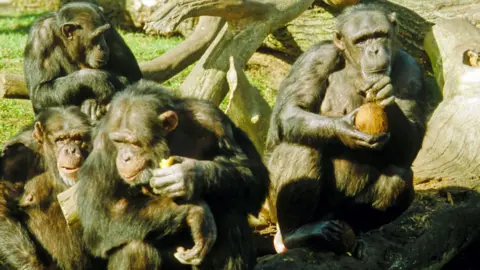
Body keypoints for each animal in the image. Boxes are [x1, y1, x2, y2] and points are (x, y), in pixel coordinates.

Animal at [77, 79, 268, 268]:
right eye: (118, 142)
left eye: (134, 143)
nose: (125, 157)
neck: (169, 140)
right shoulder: (103, 145)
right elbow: (101, 215)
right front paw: (196, 211)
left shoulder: (213, 119)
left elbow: (252, 173)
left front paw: (189, 175)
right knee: (135, 248)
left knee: (231, 215)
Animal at [264, 3, 426, 253]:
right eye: (361, 40)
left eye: (380, 35)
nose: (374, 51)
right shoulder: (314, 59)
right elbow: (291, 109)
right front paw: (344, 130)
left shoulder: (412, 71)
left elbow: (411, 142)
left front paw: (384, 95)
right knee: (300, 145)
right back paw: (298, 233)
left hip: (339, 214)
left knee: (400, 175)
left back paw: (354, 237)